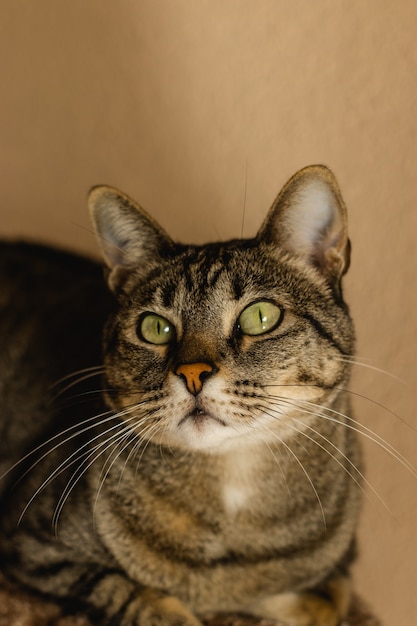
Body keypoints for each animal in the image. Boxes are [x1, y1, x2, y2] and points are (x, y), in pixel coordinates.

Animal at [0, 166, 360, 624]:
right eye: (155, 327)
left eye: (260, 317)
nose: (192, 374)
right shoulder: (33, 542)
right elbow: (129, 591)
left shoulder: (341, 565)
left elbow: (325, 599)